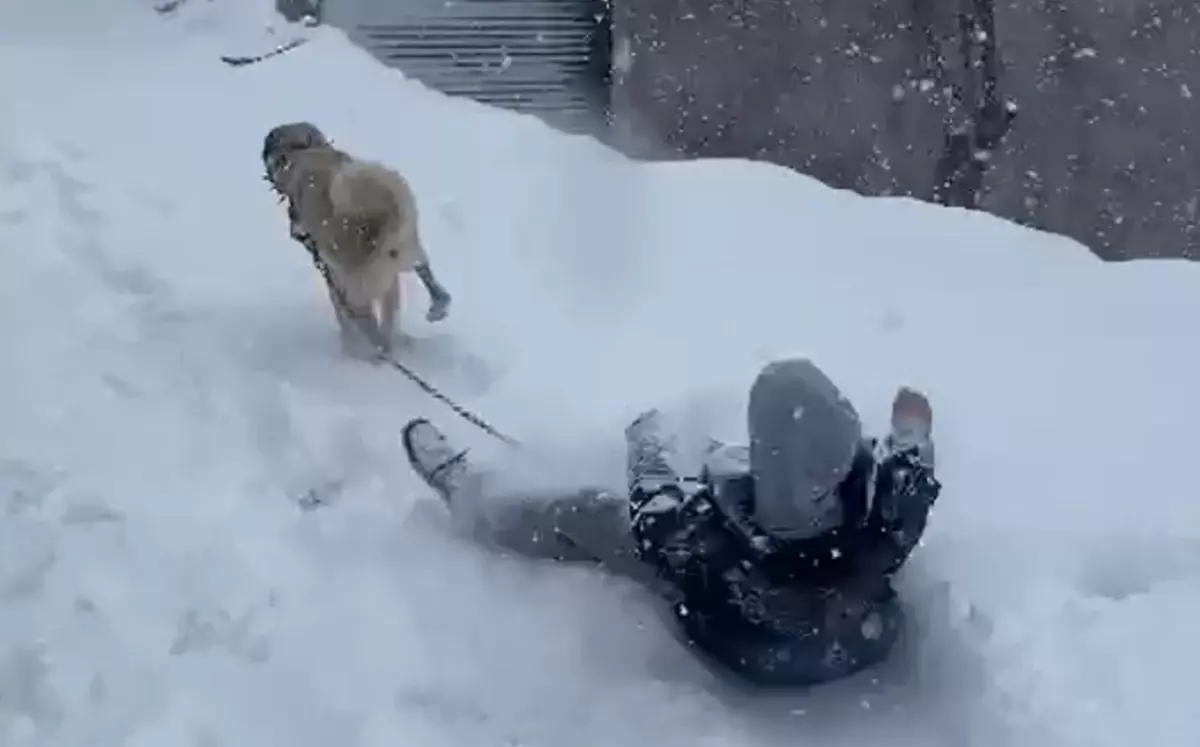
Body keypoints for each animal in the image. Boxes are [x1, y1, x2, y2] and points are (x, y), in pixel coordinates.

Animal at [261, 121, 451, 362]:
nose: (296, 231)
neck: (302, 151)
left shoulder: (336, 278)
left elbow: (345, 315)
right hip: (408, 250)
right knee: (422, 274)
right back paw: (437, 304)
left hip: (358, 284)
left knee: (372, 329)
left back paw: (372, 351)